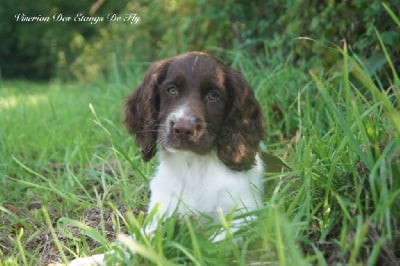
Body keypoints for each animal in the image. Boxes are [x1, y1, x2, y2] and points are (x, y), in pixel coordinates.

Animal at [69, 51, 284, 264]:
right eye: (171, 90)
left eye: (213, 95)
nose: (183, 128)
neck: (192, 166)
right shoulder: (160, 214)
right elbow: (132, 243)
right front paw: (93, 259)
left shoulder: (245, 217)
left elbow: (214, 246)